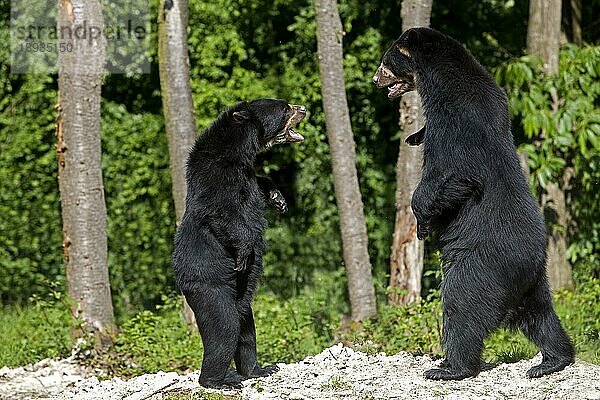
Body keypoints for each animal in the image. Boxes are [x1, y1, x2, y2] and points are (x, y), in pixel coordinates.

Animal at [172, 98, 304, 390]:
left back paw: (257, 369)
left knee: (247, 331)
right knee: (224, 328)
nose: (303, 108)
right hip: (210, 287)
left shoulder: (247, 172)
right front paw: (244, 253)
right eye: (284, 108)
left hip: (242, 298)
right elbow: (223, 214)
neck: (238, 150)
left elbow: (259, 185)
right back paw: (217, 381)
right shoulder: (217, 176)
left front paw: (278, 199)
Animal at [372, 28, 576, 382]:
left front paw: (422, 220)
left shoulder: (453, 123)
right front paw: (413, 136)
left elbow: (451, 175)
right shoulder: (494, 97)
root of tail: (530, 263)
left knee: (461, 307)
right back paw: (551, 360)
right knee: (541, 316)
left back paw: (450, 367)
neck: (440, 81)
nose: (375, 79)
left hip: (481, 266)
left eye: (387, 61)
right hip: (535, 282)